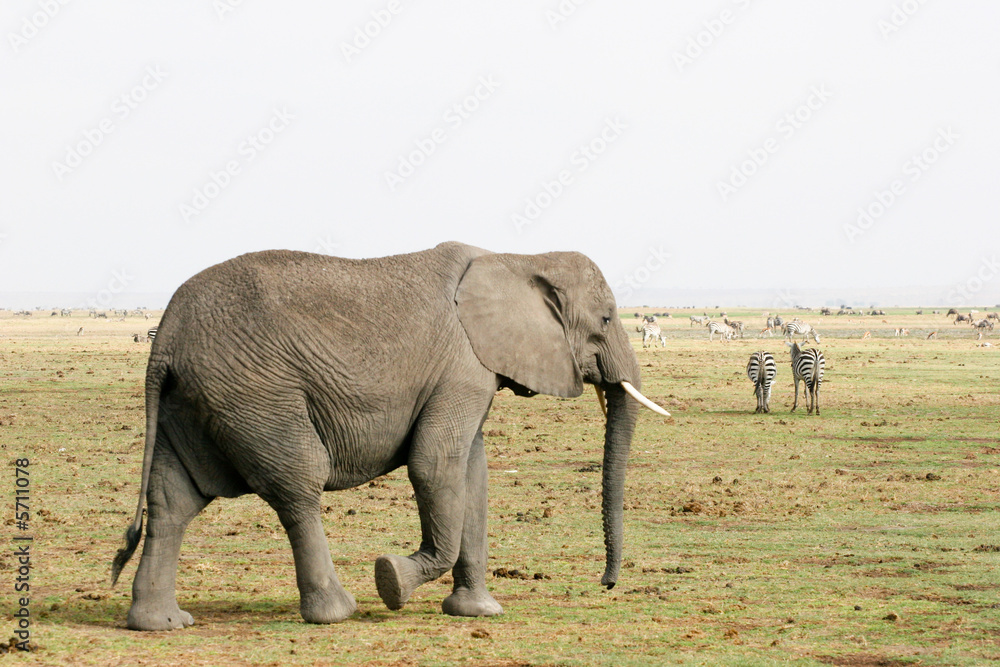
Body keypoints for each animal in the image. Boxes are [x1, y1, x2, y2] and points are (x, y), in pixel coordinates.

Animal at [110, 241, 669, 631]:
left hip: (193, 399)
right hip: (254, 393)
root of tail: (165, 338)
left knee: (174, 500)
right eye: (605, 319)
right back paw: (338, 612)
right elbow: (436, 466)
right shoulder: (462, 367)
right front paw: (393, 581)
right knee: (298, 486)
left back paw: (161, 624)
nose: (606, 584)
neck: (515, 258)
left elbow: (472, 474)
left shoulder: (472, 373)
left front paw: (478, 613)